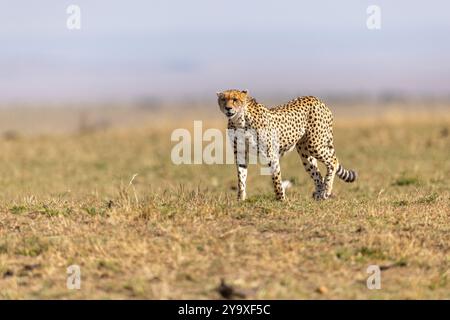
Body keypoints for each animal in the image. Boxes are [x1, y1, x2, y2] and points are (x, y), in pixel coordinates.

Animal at [216, 89, 356, 201]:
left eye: (235, 99)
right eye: (223, 99)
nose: (228, 108)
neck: (239, 120)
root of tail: (317, 99)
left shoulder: (271, 154)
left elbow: (276, 178)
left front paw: (281, 199)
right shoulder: (240, 153)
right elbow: (241, 176)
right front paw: (240, 198)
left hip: (315, 144)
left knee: (333, 161)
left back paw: (326, 190)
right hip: (305, 152)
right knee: (317, 173)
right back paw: (319, 195)